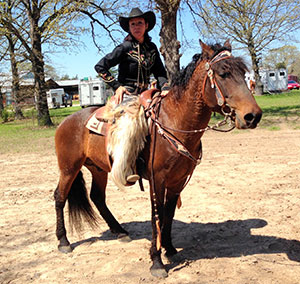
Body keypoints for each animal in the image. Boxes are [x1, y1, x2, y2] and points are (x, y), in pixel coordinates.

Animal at [55, 40, 262, 278]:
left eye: (244, 73)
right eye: (223, 73)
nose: (253, 116)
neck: (174, 121)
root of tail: (65, 122)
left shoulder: (177, 181)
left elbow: (168, 214)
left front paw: (170, 249)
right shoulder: (157, 179)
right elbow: (157, 214)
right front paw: (156, 261)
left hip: (98, 169)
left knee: (97, 197)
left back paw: (120, 231)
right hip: (69, 168)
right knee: (60, 196)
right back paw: (63, 241)